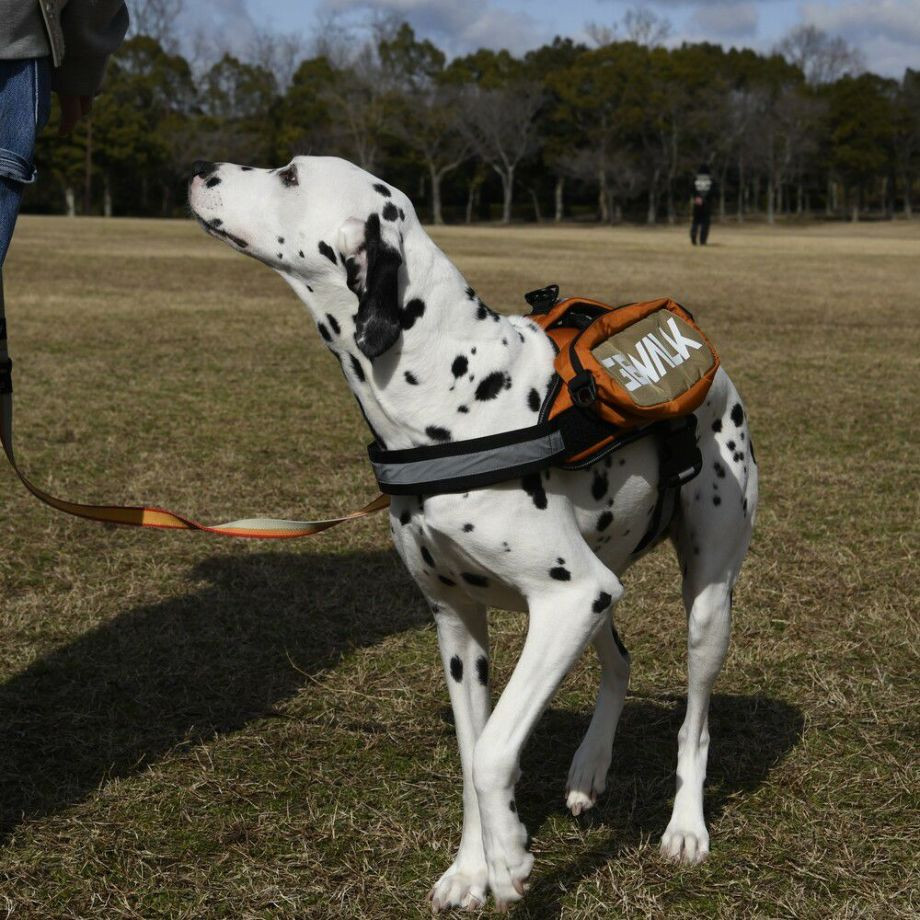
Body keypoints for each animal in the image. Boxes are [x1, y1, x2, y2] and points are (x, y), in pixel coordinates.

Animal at [185, 156, 756, 912]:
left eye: (290, 175)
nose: (201, 170)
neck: (448, 392)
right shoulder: (462, 623)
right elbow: (469, 751)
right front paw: (471, 867)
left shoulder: (567, 599)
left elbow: (492, 753)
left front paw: (509, 857)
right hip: (600, 583)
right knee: (620, 660)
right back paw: (590, 766)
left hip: (703, 603)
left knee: (695, 722)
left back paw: (686, 827)